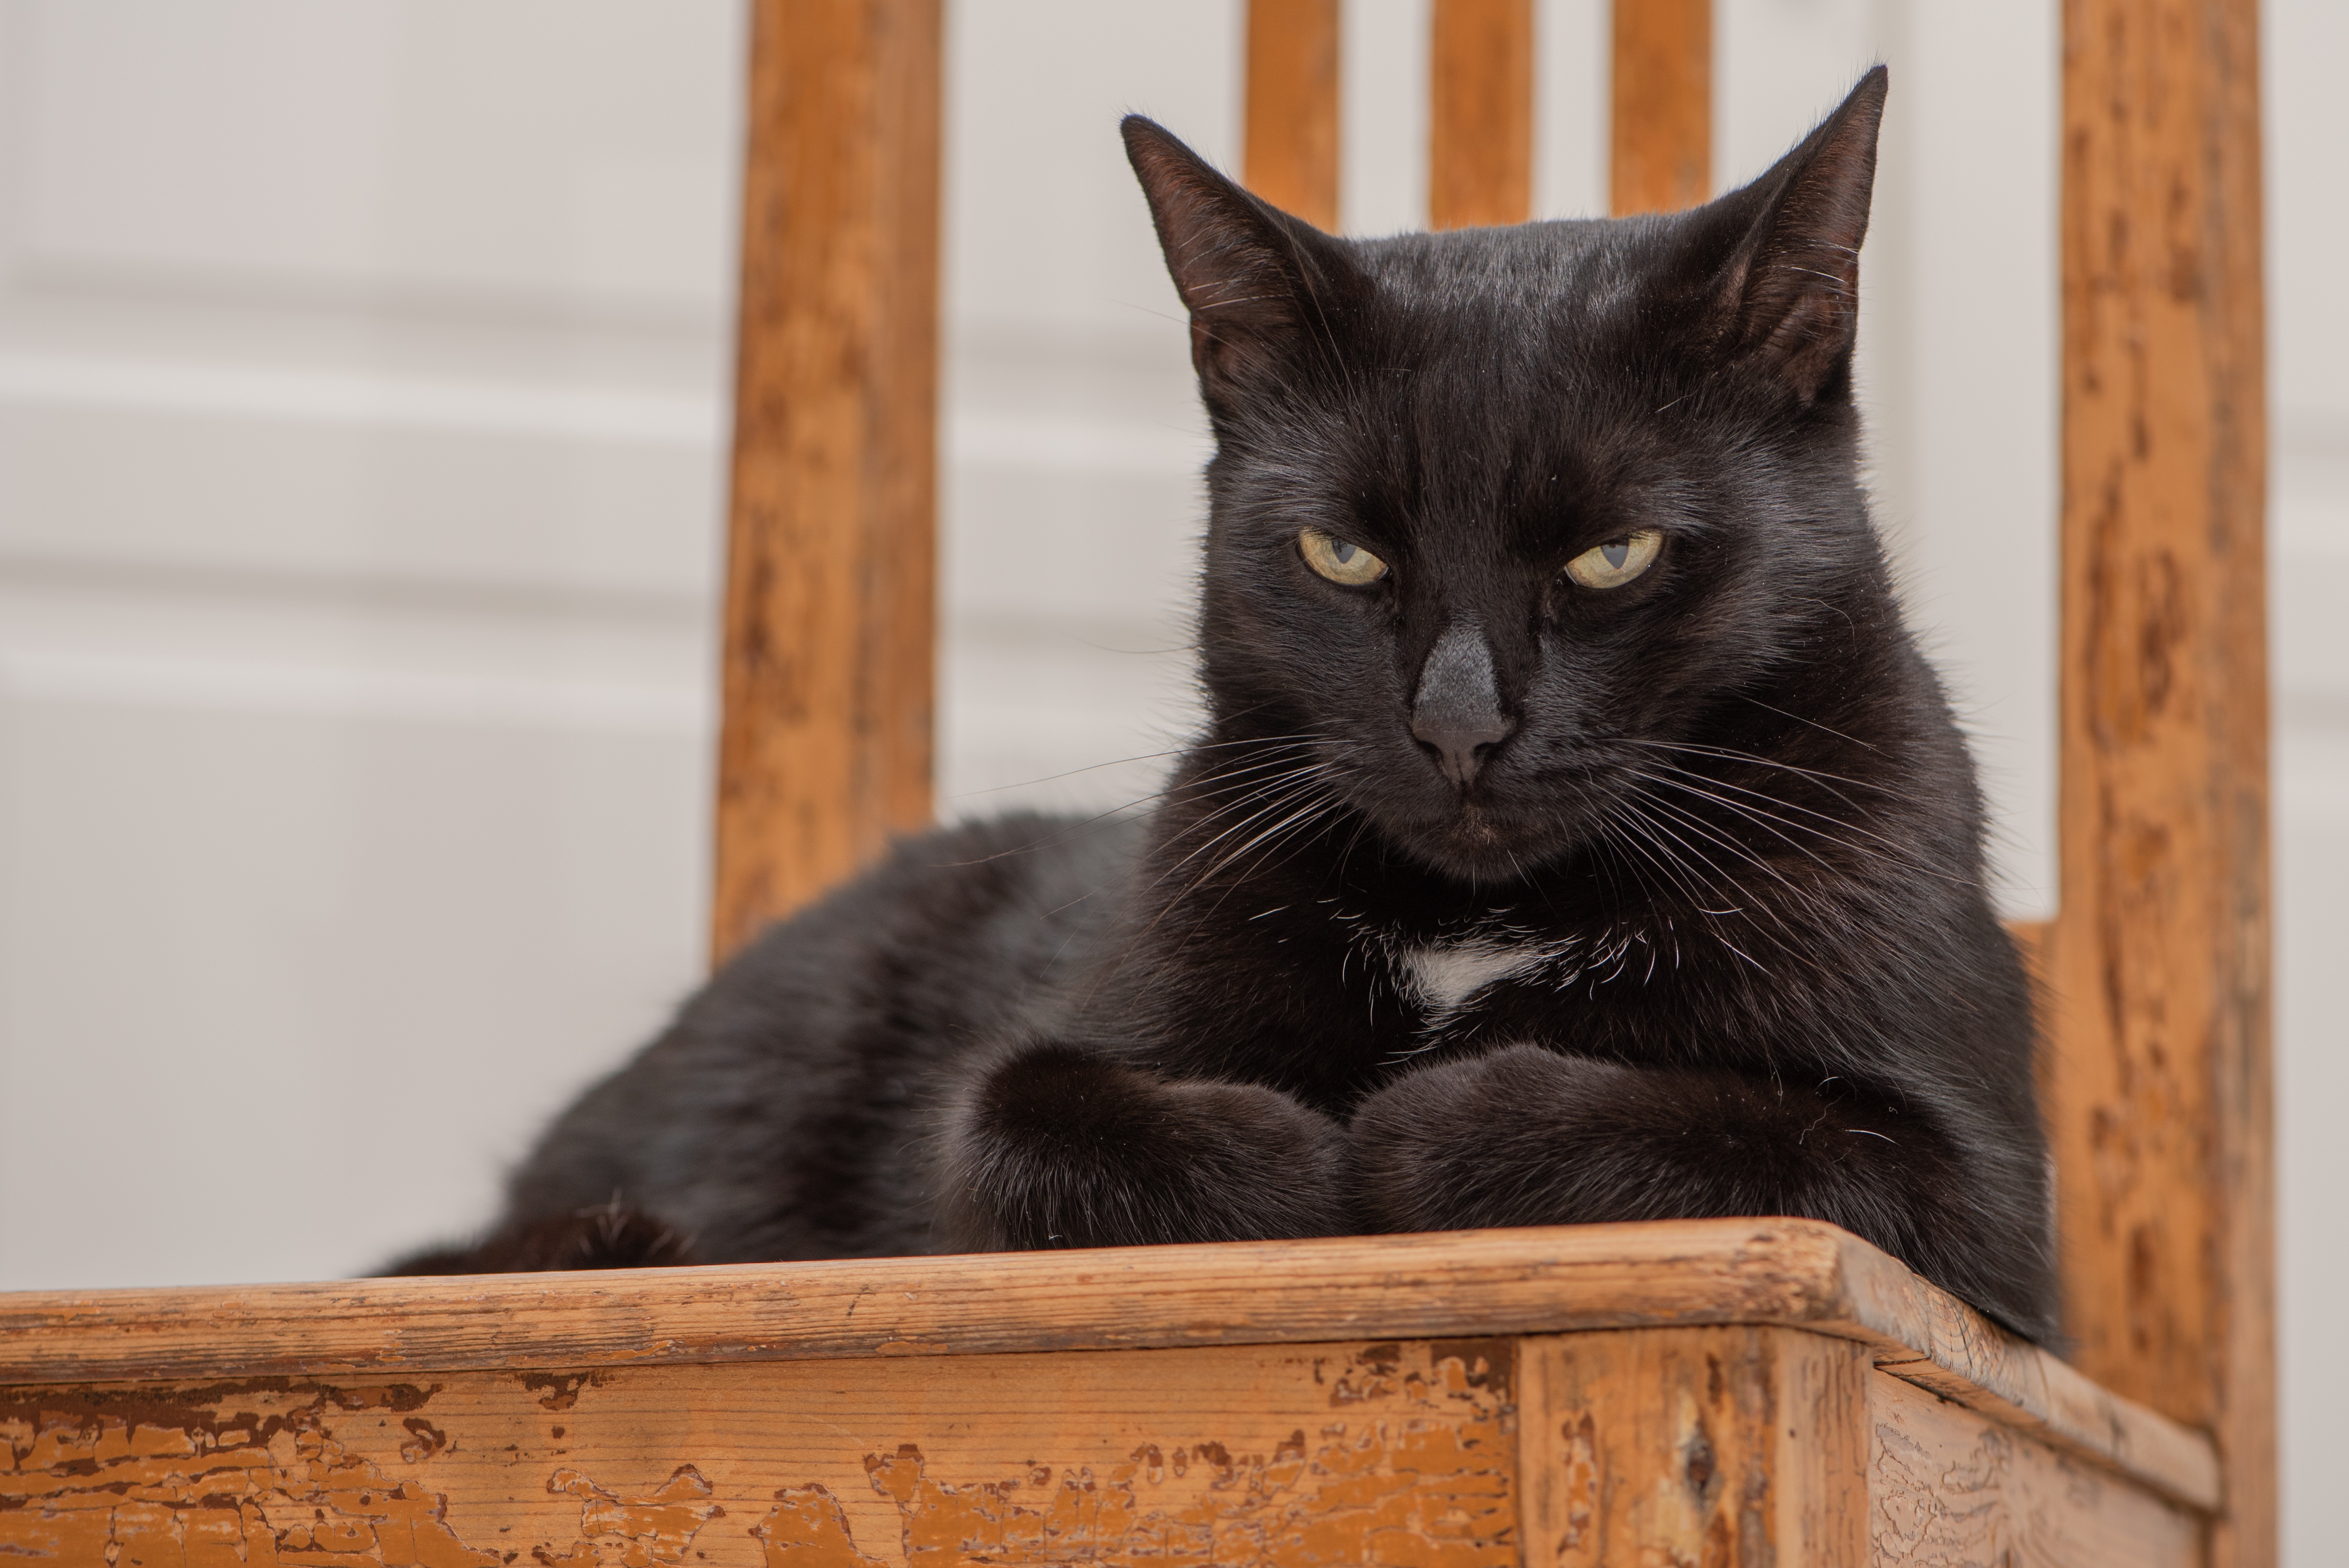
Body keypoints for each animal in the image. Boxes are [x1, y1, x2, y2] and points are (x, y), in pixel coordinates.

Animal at [404, 70, 2058, 1352]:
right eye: (1341, 553)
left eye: (1612, 555)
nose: (1457, 726)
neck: (1479, 919)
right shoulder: (1020, 1086)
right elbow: (1028, 1124)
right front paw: (1311, 1160)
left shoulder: (1983, 1212)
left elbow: (1741, 1131)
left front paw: (1408, 1122)